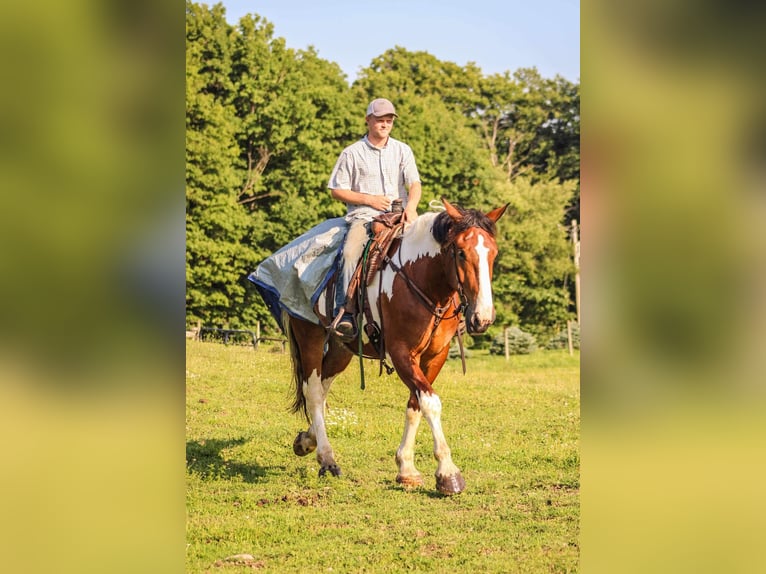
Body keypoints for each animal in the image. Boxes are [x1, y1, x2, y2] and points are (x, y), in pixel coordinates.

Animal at [280, 198, 508, 496]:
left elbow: (415, 404)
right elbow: (430, 402)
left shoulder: (435, 356)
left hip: (342, 348)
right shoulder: (401, 353)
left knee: (323, 383)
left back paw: (307, 440)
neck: (422, 280)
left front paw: (406, 468)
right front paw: (448, 473)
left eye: (493, 253)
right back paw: (327, 459)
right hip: (309, 336)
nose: (483, 318)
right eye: (460, 253)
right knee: (314, 391)